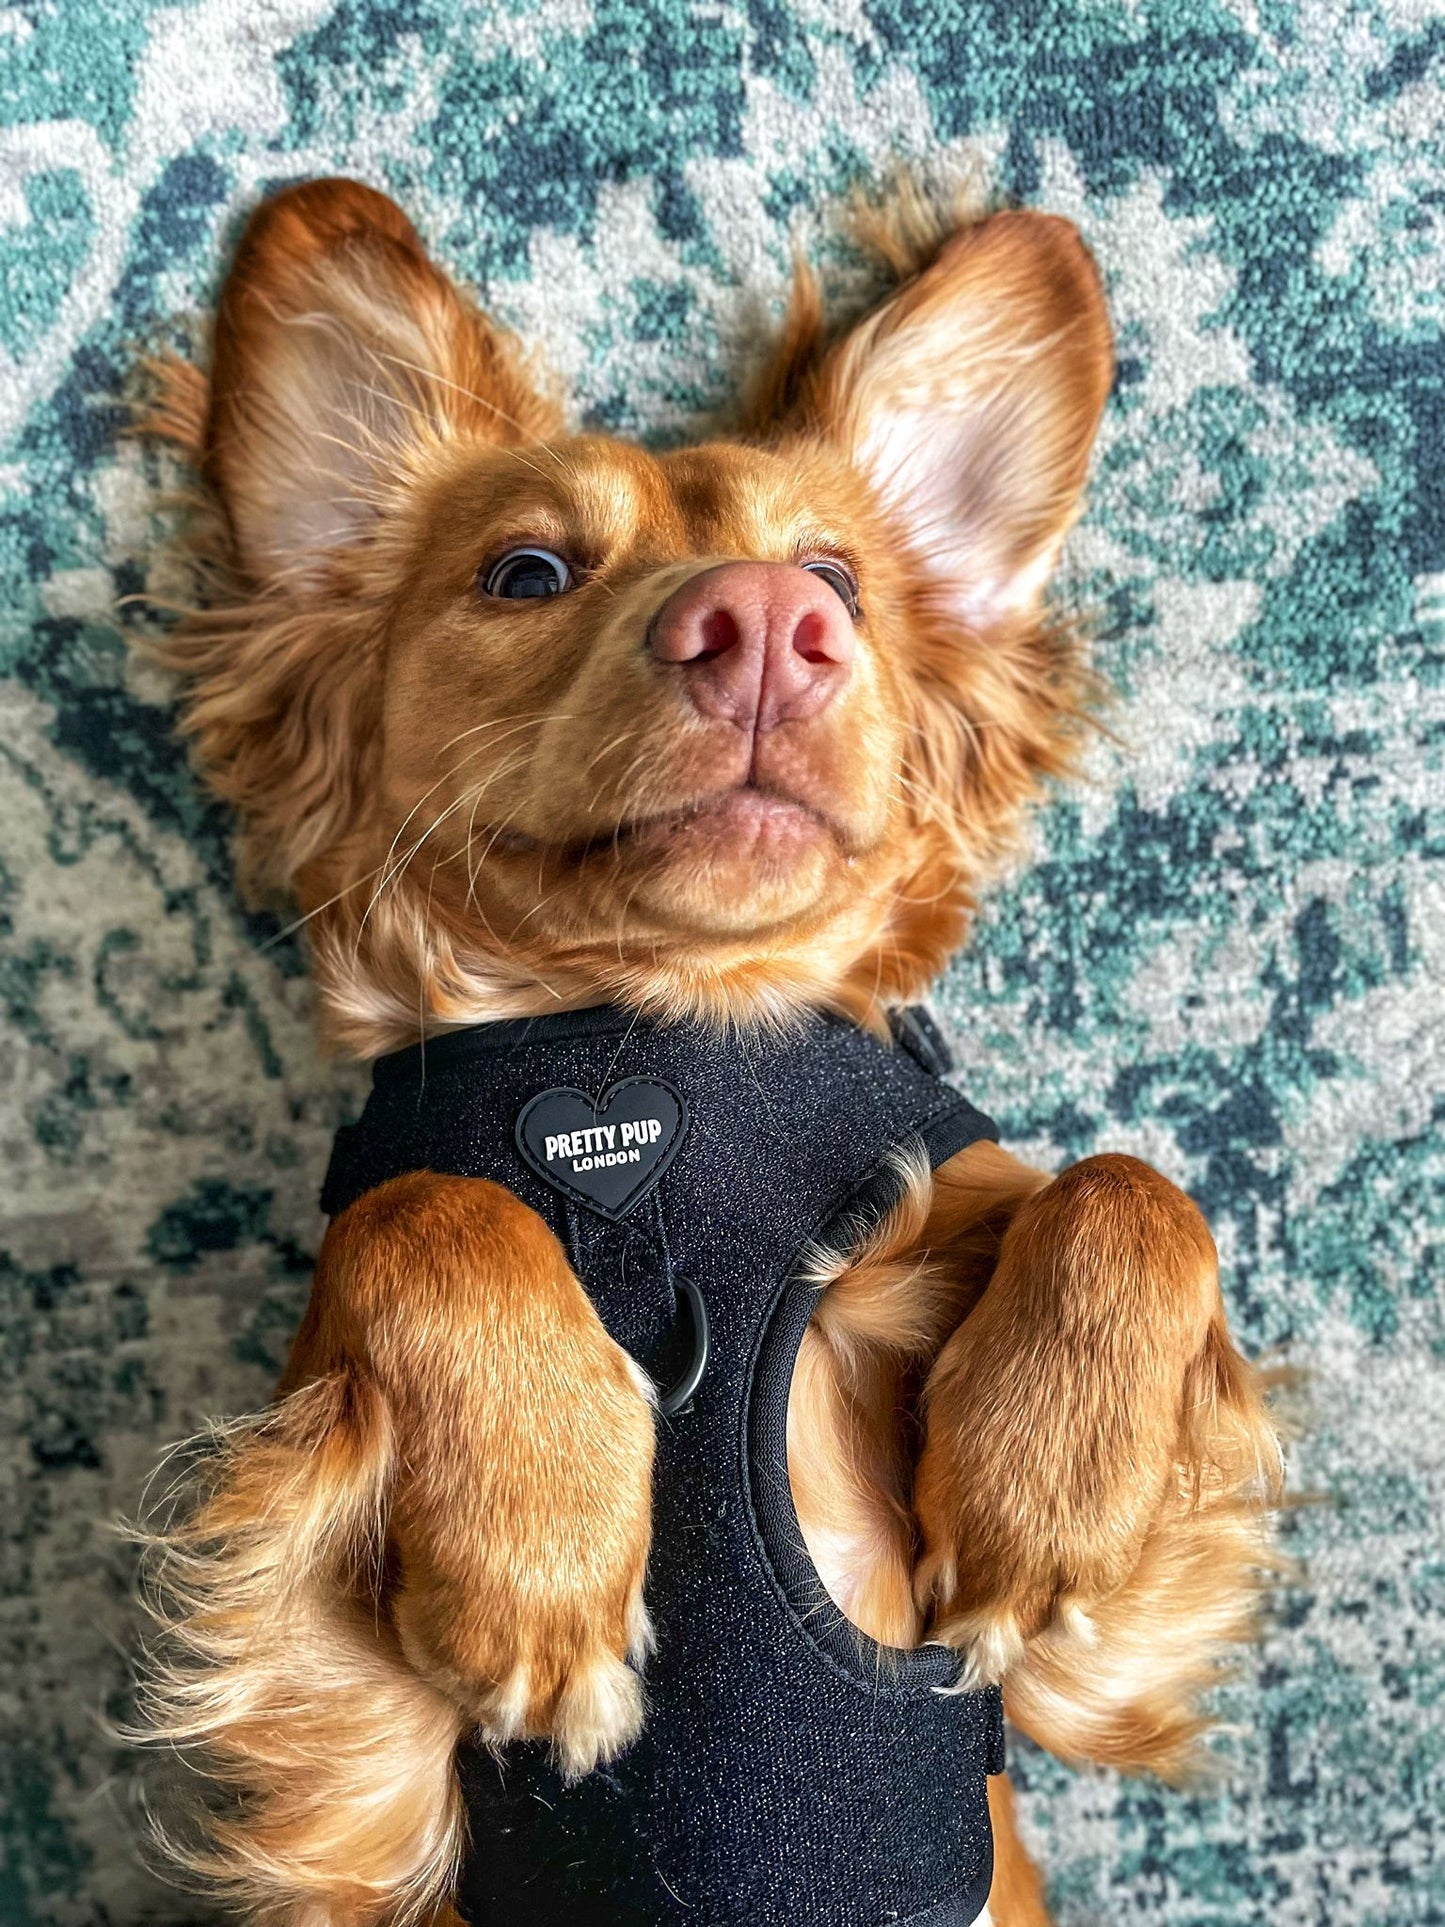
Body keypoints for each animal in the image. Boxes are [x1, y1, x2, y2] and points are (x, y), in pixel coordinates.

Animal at [130, 173, 1287, 1919]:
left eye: (840, 578)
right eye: (526, 571)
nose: (768, 618)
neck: (662, 1038)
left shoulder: (1084, 1656)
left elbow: (1134, 1182)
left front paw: (1047, 1493)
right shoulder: (335, 1708)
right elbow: (426, 1208)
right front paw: (538, 1544)